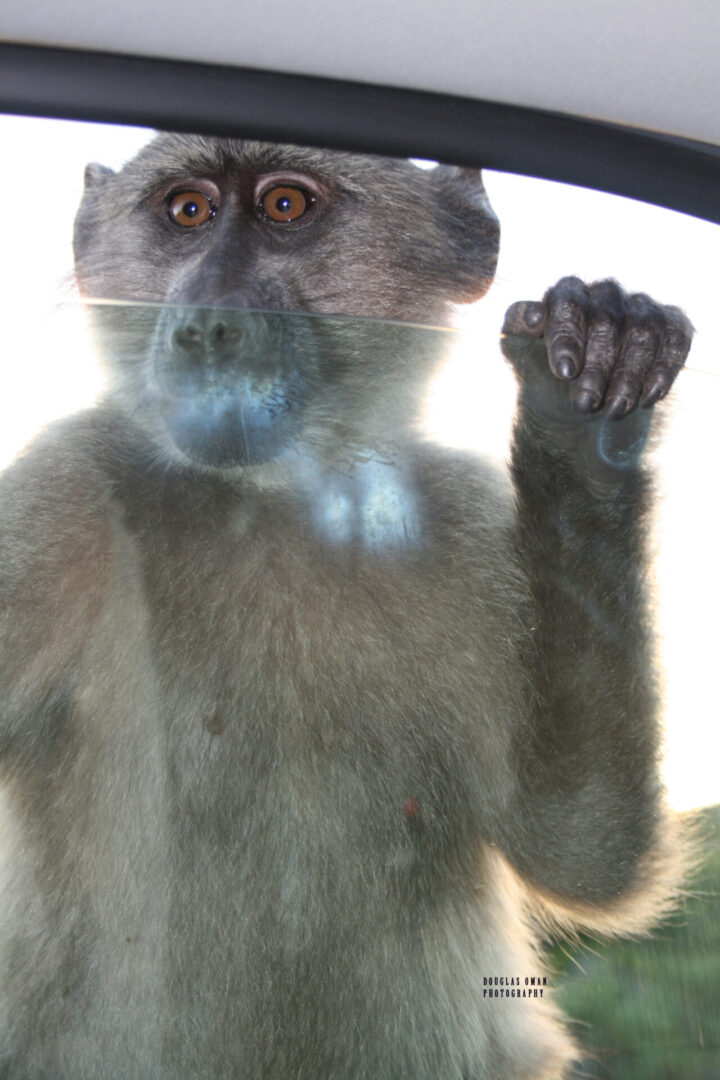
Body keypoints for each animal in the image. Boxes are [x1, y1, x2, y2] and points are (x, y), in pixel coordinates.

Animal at [0, 137, 690, 1080]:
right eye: (187, 211)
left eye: (286, 206)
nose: (206, 326)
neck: (272, 503)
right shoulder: (57, 499)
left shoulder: (465, 523)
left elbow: (581, 845)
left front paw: (590, 403)